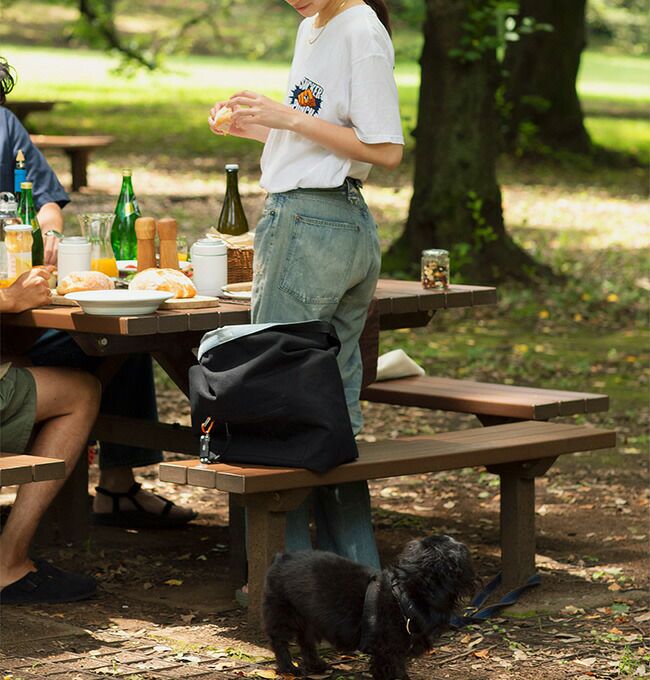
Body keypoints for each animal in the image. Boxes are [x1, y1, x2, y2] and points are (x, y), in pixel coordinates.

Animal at [262, 534, 476, 680]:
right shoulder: (388, 650)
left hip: (307, 618)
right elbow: (395, 670)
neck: (407, 591)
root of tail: (283, 558)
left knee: (306, 641)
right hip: (283, 614)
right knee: (280, 642)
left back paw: (316, 665)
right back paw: (289, 668)